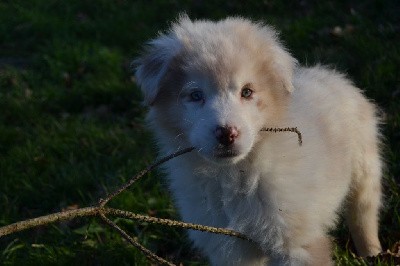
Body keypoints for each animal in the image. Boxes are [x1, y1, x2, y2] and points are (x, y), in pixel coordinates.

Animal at [134, 17, 382, 266]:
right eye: (195, 95)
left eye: (247, 92)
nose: (227, 134)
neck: (235, 175)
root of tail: (330, 74)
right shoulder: (227, 246)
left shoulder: (296, 244)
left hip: (365, 169)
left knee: (363, 215)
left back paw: (373, 253)